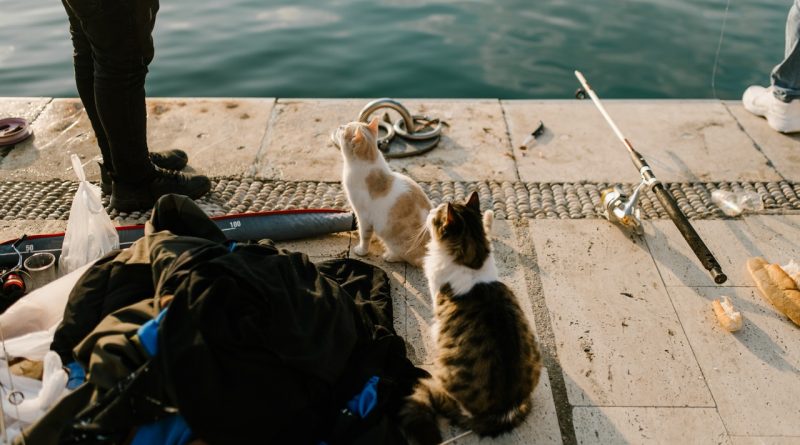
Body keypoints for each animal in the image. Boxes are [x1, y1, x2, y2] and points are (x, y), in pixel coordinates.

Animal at [332, 116, 432, 266]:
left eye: (344, 129)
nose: (340, 126)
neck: (370, 159)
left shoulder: (363, 215)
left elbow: (364, 234)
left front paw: (362, 250)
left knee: (408, 257)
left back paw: (390, 256)